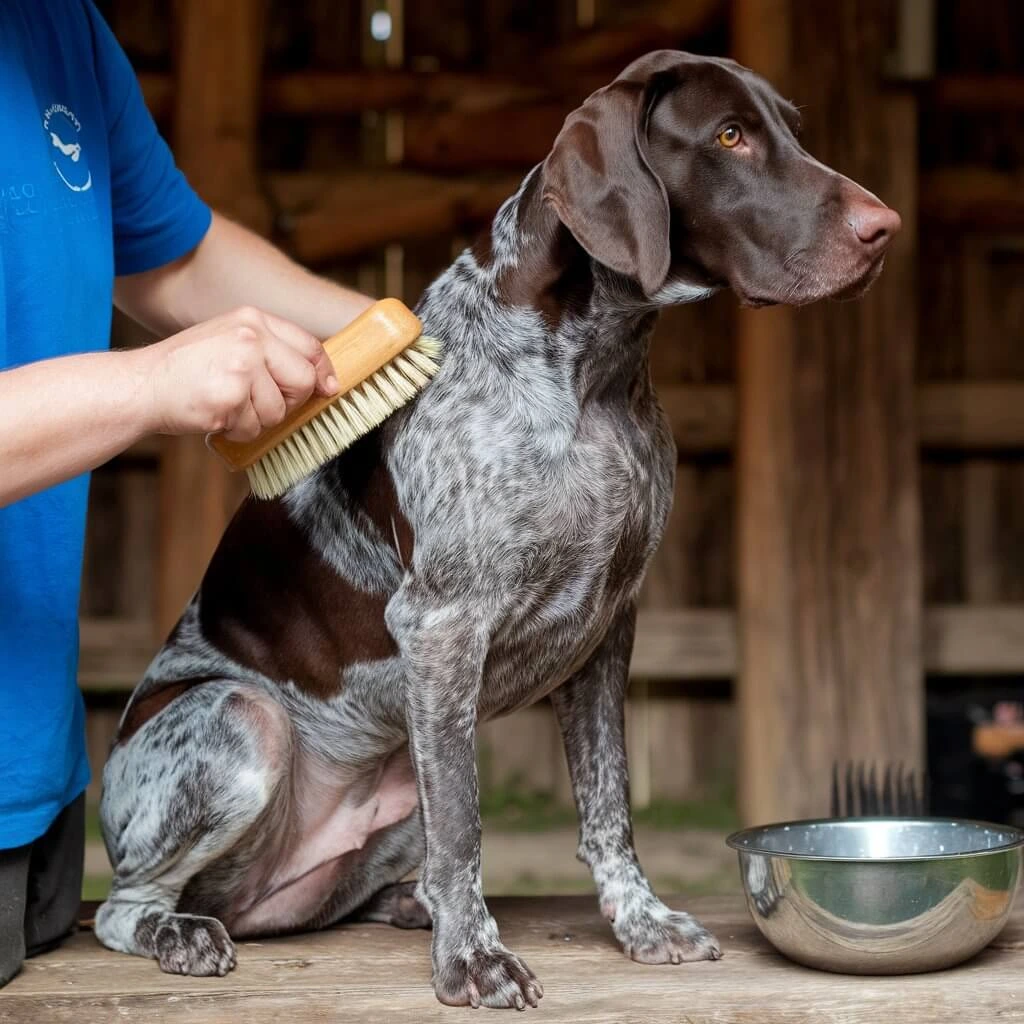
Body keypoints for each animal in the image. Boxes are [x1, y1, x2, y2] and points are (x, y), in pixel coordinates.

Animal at [94, 49, 897, 1007]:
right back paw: (183, 931)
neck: (591, 374)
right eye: (730, 136)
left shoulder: (608, 628)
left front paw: (639, 921)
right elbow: (467, 830)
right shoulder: (442, 627)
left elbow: (608, 806)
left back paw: (405, 905)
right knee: (125, 907)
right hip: (247, 722)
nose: (885, 227)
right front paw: (473, 961)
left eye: (791, 131)